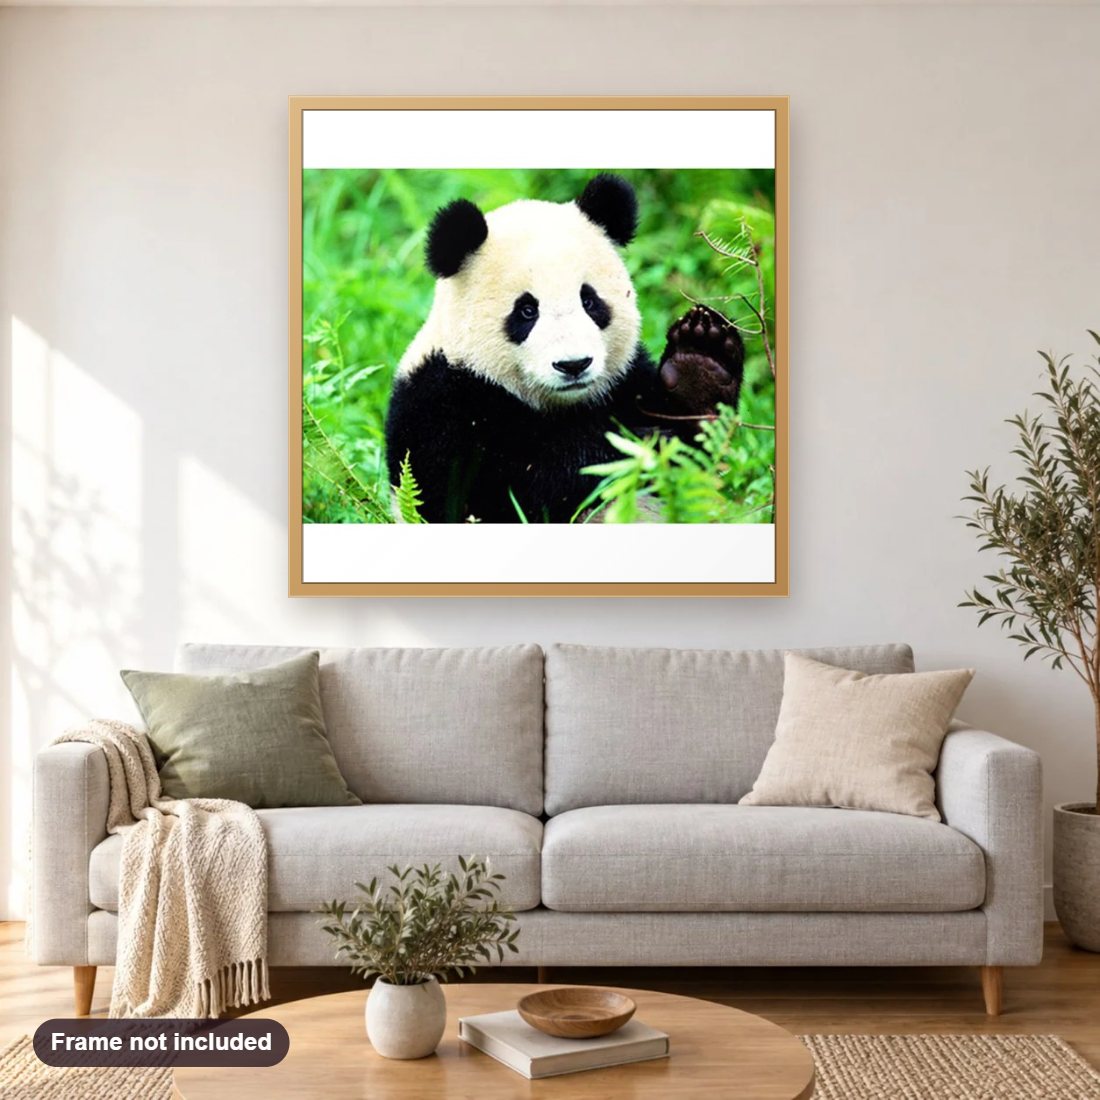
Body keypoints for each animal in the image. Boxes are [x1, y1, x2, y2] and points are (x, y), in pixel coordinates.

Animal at [384, 174, 744, 524]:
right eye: (526, 311)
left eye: (590, 301)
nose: (574, 364)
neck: (559, 406)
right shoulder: (439, 402)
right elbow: (483, 495)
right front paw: (630, 447)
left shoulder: (627, 380)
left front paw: (698, 368)